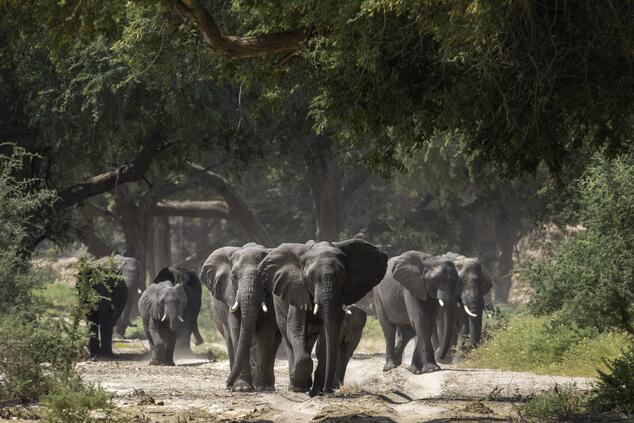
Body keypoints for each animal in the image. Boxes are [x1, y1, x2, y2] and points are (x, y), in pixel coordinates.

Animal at [199, 243, 278, 392]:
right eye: (234, 276)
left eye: (264, 277)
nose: (226, 384)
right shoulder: (230, 294)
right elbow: (237, 330)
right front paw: (242, 388)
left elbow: (266, 334)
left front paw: (262, 387)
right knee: (230, 341)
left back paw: (268, 386)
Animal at [256, 240, 386, 396]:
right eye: (311, 278)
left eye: (343, 277)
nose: (328, 390)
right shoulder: (298, 290)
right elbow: (296, 331)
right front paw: (300, 387)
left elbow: (325, 340)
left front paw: (316, 390)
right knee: (288, 338)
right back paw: (293, 385)